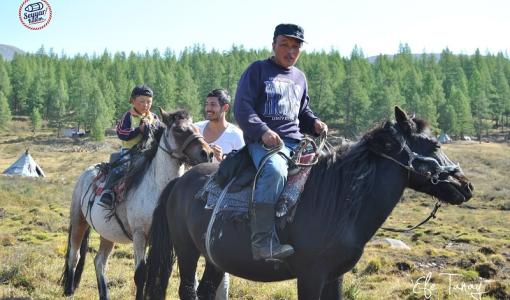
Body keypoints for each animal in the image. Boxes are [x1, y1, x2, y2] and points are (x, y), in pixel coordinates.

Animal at [61, 109, 213, 300]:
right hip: (79, 222)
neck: (156, 188)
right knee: (74, 255)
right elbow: (141, 274)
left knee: (99, 261)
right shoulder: (140, 235)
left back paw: (104, 294)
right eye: (179, 130)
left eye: (197, 128)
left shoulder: (165, 239)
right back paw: (69, 290)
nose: (207, 153)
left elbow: (161, 274)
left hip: (107, 233)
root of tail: (87, 172)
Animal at [143, 106, 474, 298]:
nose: (466, 186)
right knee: (187, 289)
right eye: (434, 144)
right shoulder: (311, 275)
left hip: (215, 259)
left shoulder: (334, 276)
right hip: (186, 251)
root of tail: (179, 182)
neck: (339, 200)